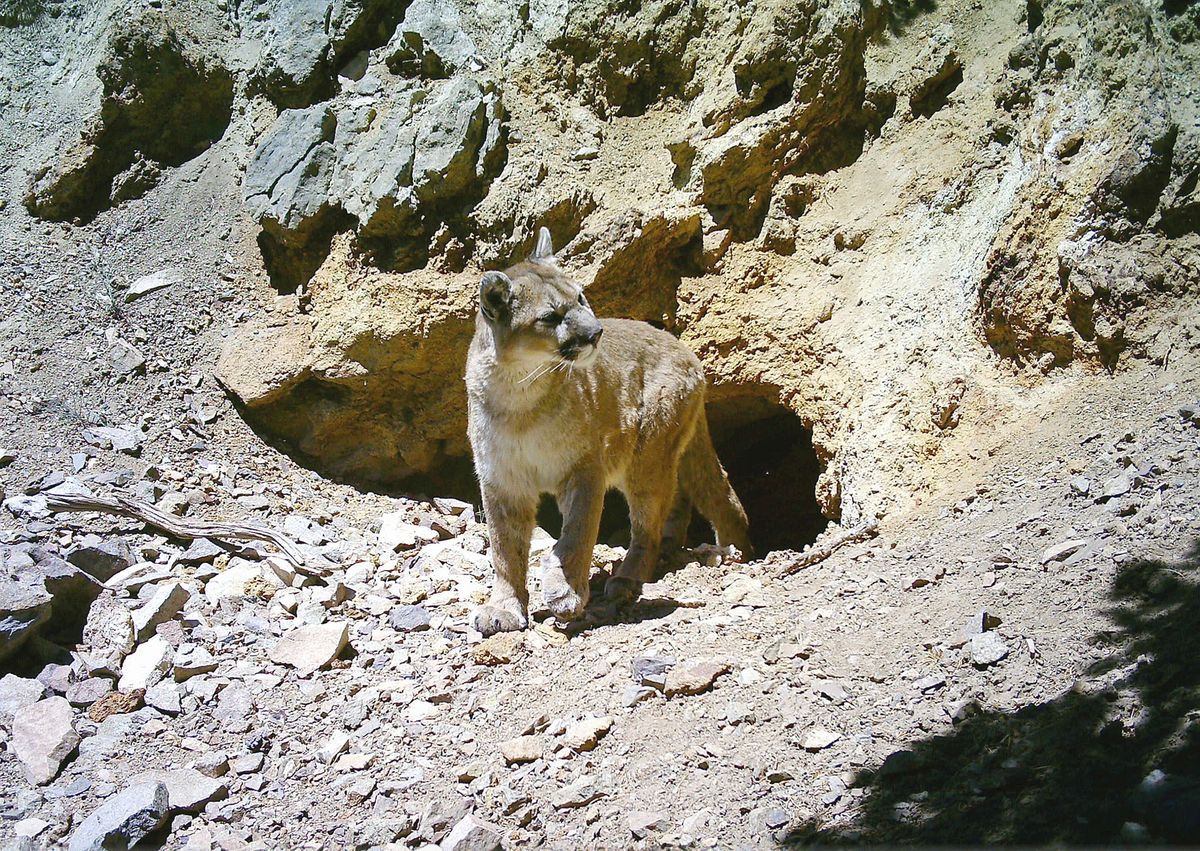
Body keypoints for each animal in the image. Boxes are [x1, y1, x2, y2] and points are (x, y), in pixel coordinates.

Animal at [460, 229, 748, 633]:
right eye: (550, 317)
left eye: (581, 297)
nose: (596, 332)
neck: (519, 392)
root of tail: (684, 348)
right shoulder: (502, 481)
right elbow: (505, 550)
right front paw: (505, 607)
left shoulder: (583, 470)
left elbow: (576, 536)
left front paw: (565, 590)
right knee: (676, 501)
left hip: (646, 455)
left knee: (648, 524)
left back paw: (627, 579)